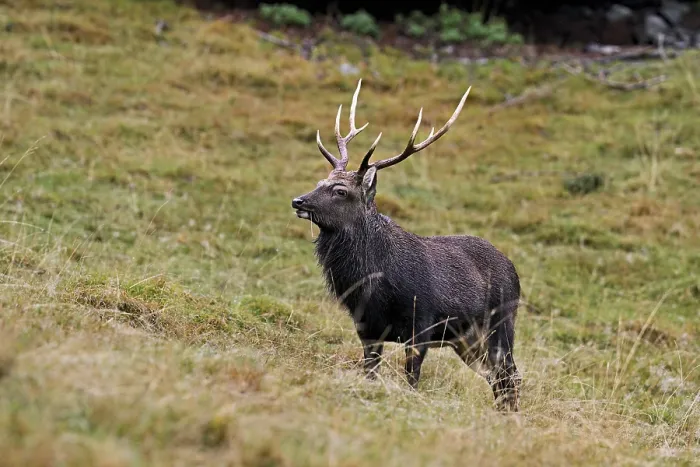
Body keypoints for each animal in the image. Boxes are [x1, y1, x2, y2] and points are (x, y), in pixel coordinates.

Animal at [291, 79, 522, 412]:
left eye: (340, 191)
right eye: (320, 182)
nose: (298, 201)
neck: (376, 283)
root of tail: (515, 272)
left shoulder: (421, 325)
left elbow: (412, 381)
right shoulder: (367, 328)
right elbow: (370, 373)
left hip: (501, 323)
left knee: (511, 374)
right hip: (467, 339)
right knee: (498, 377)